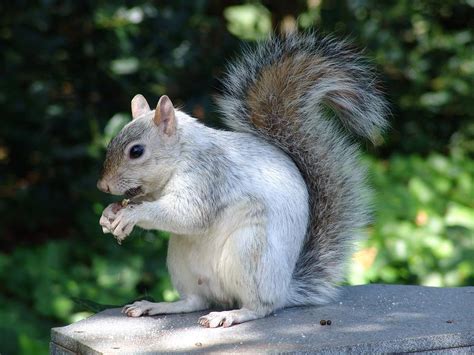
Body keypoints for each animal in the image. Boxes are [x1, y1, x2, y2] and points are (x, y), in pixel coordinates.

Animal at [97, 32, 388, 328]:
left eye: (136, 151)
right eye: (112, 141)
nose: (102, 186)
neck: (181, 154)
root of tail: (284, 289)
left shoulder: (207, 177)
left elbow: (189, 214)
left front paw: (131, 214)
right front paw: (109, 214)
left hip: (249, 252)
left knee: (259, 307)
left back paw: (230, 314)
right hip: (181, 261)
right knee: (194, 301)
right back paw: (155, 306)